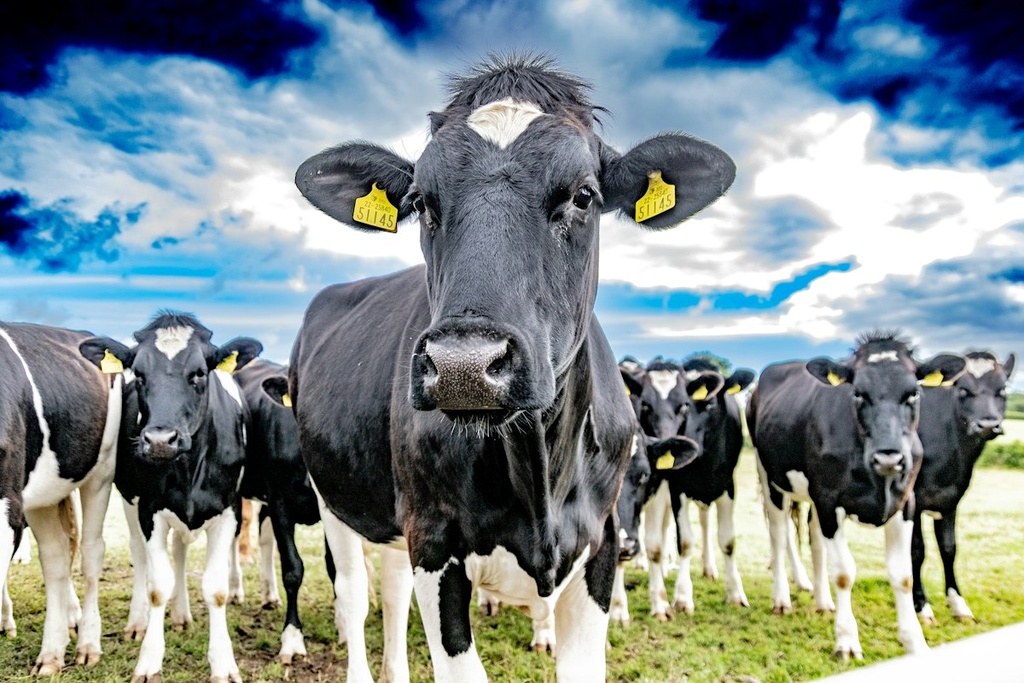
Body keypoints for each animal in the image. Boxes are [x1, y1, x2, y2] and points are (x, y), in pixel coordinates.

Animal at [0, 322, 121, 675]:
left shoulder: (6, 507)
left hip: (102, 471)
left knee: (91, 550)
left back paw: (88, 645)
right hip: (43, 491)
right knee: (55, 554)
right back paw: (52, 654)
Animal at [79, 312, 261, 683]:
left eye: (200, 373)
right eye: (139, 373)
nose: (161, 440)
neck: (189, 469)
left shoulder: (229, 510)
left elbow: (216, 589)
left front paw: (223, 664)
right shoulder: (149, 509)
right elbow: (157, 585)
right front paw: (149, 660)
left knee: (179, 551)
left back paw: (180, 614)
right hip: (129, 498)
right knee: (141, 555)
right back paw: (139, 621)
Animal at [289, 55, 735, 681]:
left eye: (583, 196)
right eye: (421, 201)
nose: (464, 365)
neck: (539, 469)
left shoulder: (599, 545)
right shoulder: (434, 542)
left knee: (393, 590)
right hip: (333, 494)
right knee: (354, 595)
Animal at [746, 332, 965, 660]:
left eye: (913, 393)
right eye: (858, 393)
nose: (889, 458)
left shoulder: (905, 503)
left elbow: (903, 574)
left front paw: (915, 641)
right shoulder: (830, 501)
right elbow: (844, 573)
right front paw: (847, 641)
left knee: (814, 541)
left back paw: (823, 601)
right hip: (771, 479)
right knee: (779, 534)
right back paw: (782, 599)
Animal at [913, 350, 1015, 624]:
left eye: (1002, 390)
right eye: (963, 390)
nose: (988, 425)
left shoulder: (951, 499)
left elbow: (949, 549)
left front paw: (958, 604)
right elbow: (917, 550)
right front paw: (921, 606)